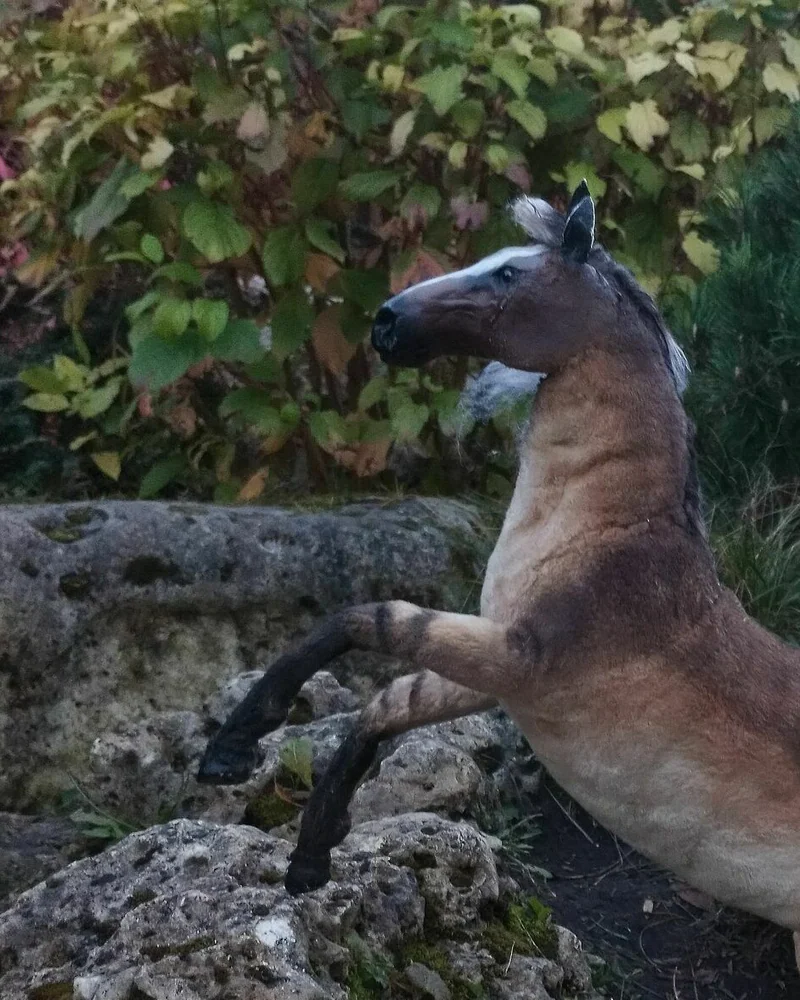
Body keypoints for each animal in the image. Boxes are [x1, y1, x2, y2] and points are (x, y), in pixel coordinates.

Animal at [198, 182, 800, 973]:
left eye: (509, 273)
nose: (388, 322)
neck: (607, 541)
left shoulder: (522, 658)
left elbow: (371, 619)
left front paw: (238, 753)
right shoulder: (496, 672)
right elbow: (387, 701)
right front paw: (299, 846)